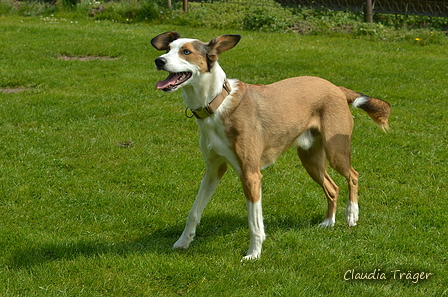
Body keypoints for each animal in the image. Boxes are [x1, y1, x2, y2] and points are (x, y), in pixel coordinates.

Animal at [150, 31, 388, 260]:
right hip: (310, 159)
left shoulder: (251, 175)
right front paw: (183, 242)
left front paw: (254, 253)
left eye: (186, 52)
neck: (217, 103)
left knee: (353, 175)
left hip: (335, 151)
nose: (159, 61)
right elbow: (194, 212)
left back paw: (352, 215)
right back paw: (329, 221)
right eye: (168, 49)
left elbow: (255, 223)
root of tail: (336, 87)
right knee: (332, 187)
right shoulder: (213, 170)